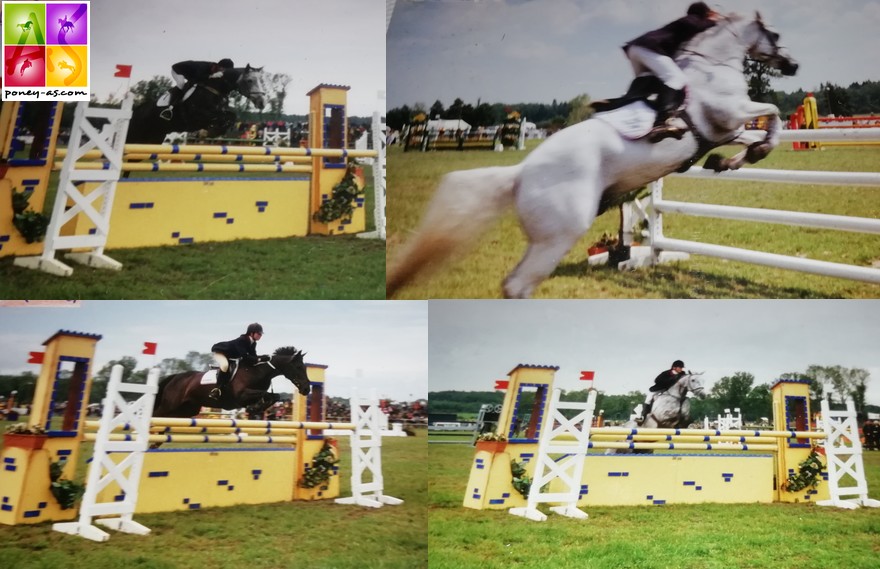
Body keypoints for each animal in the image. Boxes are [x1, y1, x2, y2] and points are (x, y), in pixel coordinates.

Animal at [125, 63, 266, 144]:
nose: (262, 103)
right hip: (134, 137)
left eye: (261, 81)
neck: (215, 88)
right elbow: (226, 116)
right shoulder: (198, 116)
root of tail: (134, 113)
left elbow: (232, 116)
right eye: (249, 80)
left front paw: (216, 131)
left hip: (154, 139)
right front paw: (214, 131)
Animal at [153, 344, 312, 420]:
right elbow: (266, 394)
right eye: (299, 367)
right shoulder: (241, 395)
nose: (306, 389)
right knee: (156, 415)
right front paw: (255, 408)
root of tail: (175, 377)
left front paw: (256, 408)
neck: (259, 371)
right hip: (170, 405)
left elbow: (274, 396)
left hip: (187, 409)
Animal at [388, 12, 800, 298]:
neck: (712, 66)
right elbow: (772, 115)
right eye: (776, 35)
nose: (793, 65)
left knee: (514, 285)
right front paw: (748, 152)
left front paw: (729, 160)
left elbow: (759, 133)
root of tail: (520, 173)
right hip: (559, 234)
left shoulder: (724, 131)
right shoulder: (727, 116)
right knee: (519, 285)